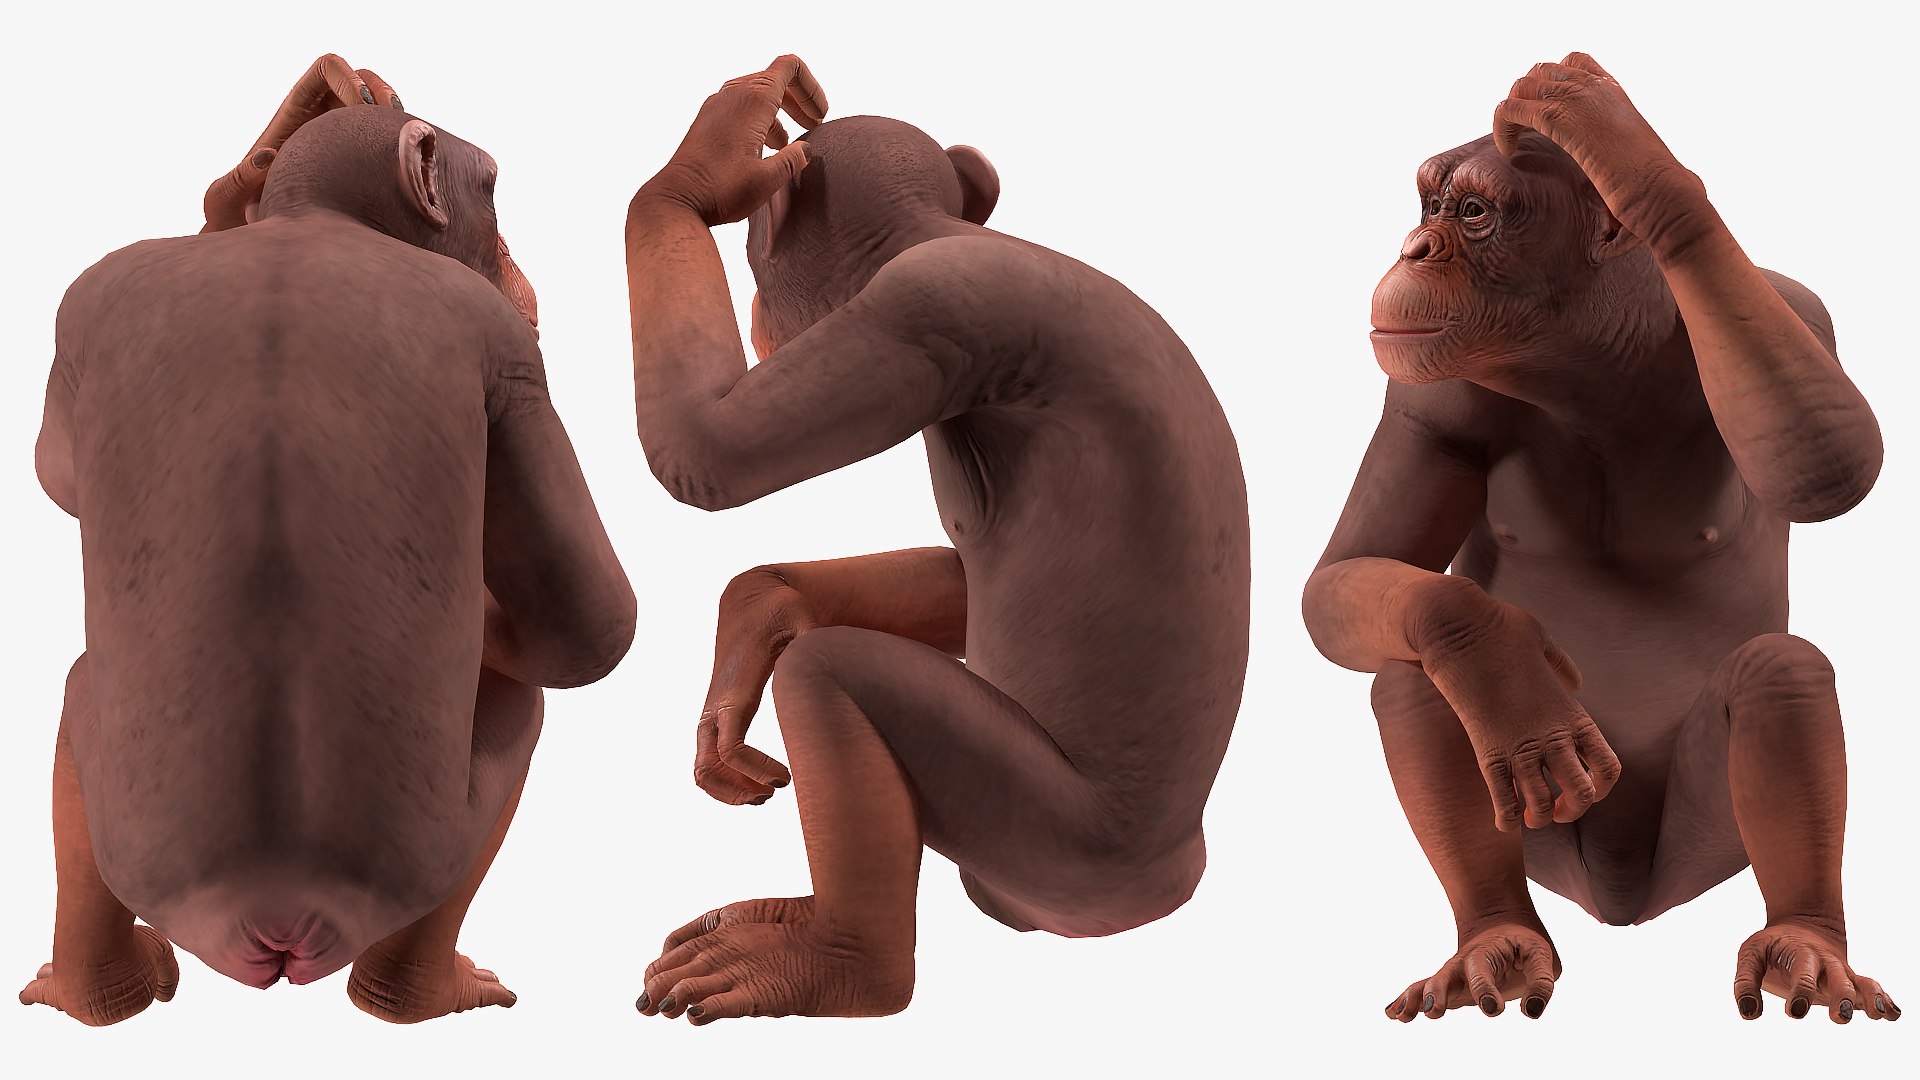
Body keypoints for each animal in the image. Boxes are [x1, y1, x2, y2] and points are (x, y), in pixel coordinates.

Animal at [20, 98, 634, 1026]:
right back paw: (412, 993)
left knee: (76, 707)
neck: (310, 221)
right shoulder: (509, 353)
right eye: (493, 189)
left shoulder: (87, 298)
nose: (519, 266)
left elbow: (56, 468)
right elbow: (587, 624)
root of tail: (273, 909)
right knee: (520, 707)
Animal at [623, 56, 1250, 1023]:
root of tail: (1166, 884)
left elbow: (709, 453)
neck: (939, 234)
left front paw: (709, 162)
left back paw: (839, 963)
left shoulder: (924, 312)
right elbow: (959, 576)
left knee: (832, 676)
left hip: (1051, 848)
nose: (761, 316)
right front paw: (762, 608)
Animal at [1302, 53, 1898, 1024]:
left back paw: (1802, 939)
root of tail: (1623, 902)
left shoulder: (1796, 313)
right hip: (1551, 840)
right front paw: (1491, 651)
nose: (1414, 248)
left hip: (1702, 849)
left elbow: (1831, 460)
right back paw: (1497, 938)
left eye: (1473, 212)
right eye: (1429, 204)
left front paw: (1620, 144)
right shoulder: (1432, 394)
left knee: (1781, 670)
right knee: (1409, 672)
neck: (1592, 361)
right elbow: (1348, 575)